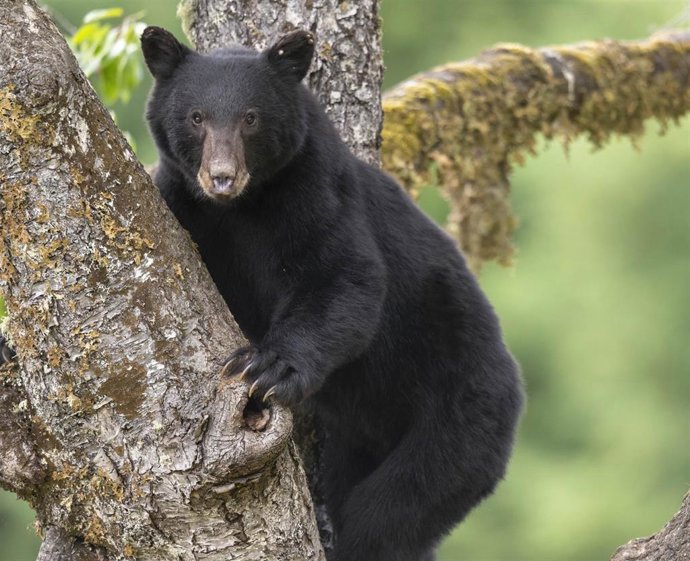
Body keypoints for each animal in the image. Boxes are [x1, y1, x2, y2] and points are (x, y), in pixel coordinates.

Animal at [141, 26, 524, 561]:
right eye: (196, 117)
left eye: (250, 118)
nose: (221, 177)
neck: (244, 206)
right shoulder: (184, 204)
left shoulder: (317, 188)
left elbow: (343, 276)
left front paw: (269, 366)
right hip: (356, 437)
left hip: (461, 414)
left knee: (392, 508)